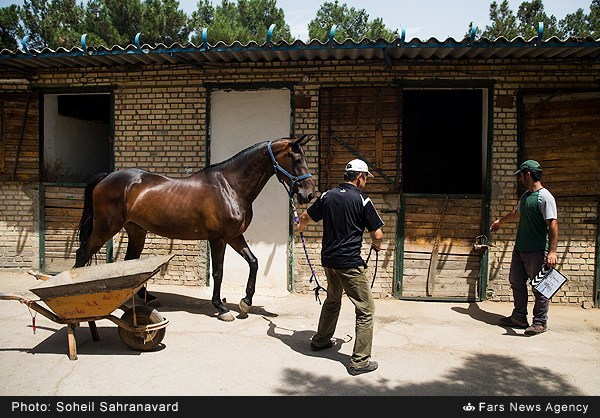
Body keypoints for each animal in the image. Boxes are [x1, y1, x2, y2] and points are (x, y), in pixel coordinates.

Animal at [75, 136, 314, 322]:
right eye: (296, 159)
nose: (309, 194)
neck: (230, 186)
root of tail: (106, 177)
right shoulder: (218, 239)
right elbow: (218, 271)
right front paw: (221, 307)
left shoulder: (235, 236)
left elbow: (253, 262)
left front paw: (245, 302)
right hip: (106, 228)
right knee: (82, 253)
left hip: (136, 231)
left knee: (131, 261)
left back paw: (146, 298)